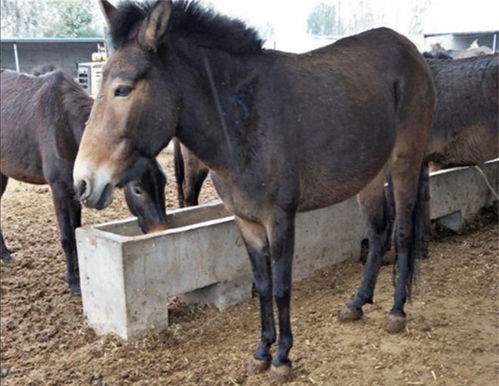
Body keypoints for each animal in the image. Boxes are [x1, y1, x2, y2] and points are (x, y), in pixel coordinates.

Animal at [0, 68, 168, 294]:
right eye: (138, 190)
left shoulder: (78, 188)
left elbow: (76, 231)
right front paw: (73, 282)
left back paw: (5, 255)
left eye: (164, 182)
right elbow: (67, 237)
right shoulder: (59, 189)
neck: (65, 125)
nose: (161, 231)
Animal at [73, 0, 434, 380]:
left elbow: (281, 285)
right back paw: (358, 302)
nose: (83, 182)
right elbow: (261, 283)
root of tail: (407, 48)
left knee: (403, 231)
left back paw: (397, 311)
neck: (244, 120)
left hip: (405, 160)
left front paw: (283, 357)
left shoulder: (281, 218)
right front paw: (263, 351)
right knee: (378, 233)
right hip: (370, 175)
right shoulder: (245, 220)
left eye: (123, 89)